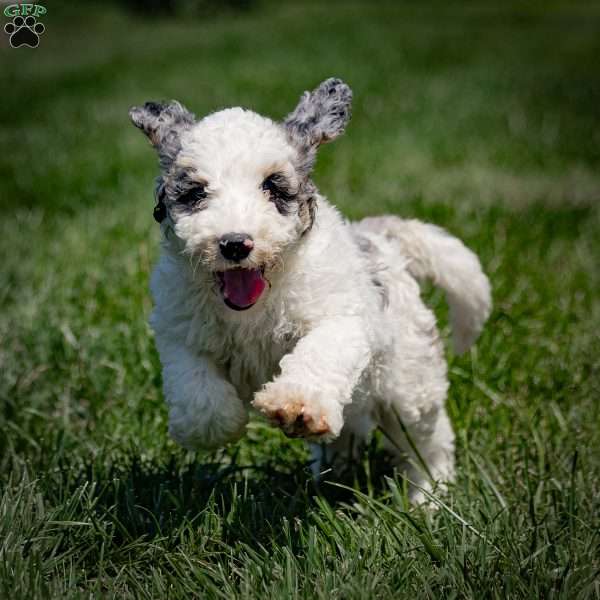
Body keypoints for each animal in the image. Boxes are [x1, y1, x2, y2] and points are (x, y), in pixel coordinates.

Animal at [129, 78, 490, 502]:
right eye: (197, 192)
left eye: (272, 187)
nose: (235, 244)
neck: (254, 308)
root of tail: (381, 239)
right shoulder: (180, 334)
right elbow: (197, 392)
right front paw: (219, 424)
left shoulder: (341, 319)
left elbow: (319, 353)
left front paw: (296, 405)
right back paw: (332, 476)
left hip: (408, 382)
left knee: (427, 441)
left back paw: (428, 497)